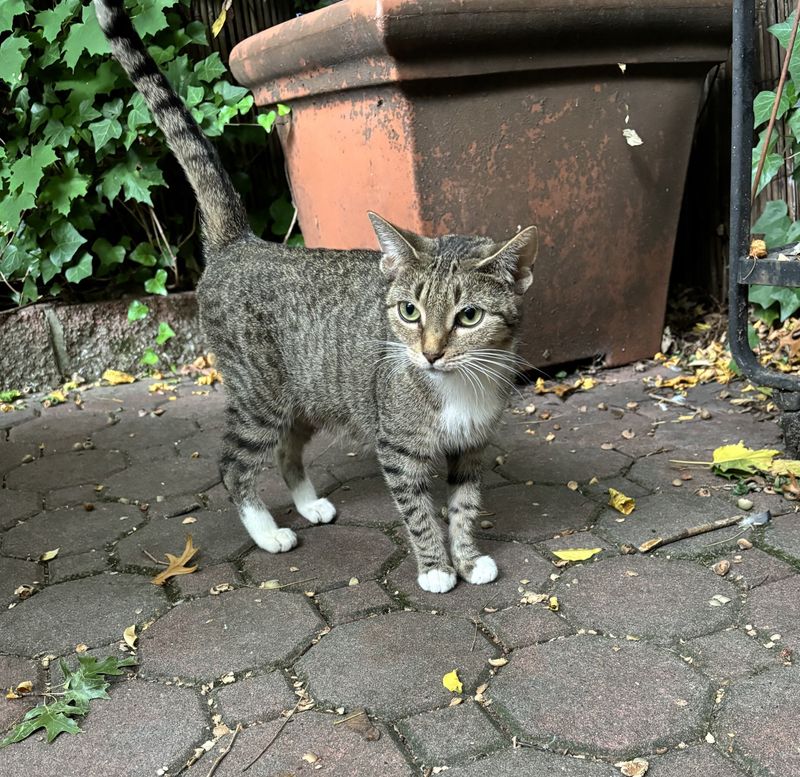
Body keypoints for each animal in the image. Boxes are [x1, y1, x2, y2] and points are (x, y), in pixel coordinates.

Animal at [97, 0, 540, 592]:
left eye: (468, 316)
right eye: (409, 311)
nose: (430, 353)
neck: (457, 389)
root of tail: (241, 242)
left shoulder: (471, 447)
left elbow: (464, 506)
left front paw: (468, 559)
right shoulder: (398, 450)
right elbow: (421, 512)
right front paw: (436, 568)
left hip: (305, 393)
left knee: (287, 451)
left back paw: (308, 505)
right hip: (260, 395)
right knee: (233, 465)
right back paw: (268, 532)